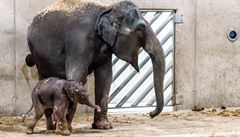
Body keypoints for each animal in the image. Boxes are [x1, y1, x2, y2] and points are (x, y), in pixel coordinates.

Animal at [25, 0, 165, 130]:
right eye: (140, 28)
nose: (150, 113)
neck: (107, 8)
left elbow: (105, 76)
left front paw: (104, 126)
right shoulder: (79, 40)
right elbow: (77, 74)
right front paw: (68, 128)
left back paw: (52, 126)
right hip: (36, 53)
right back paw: (52, 127)